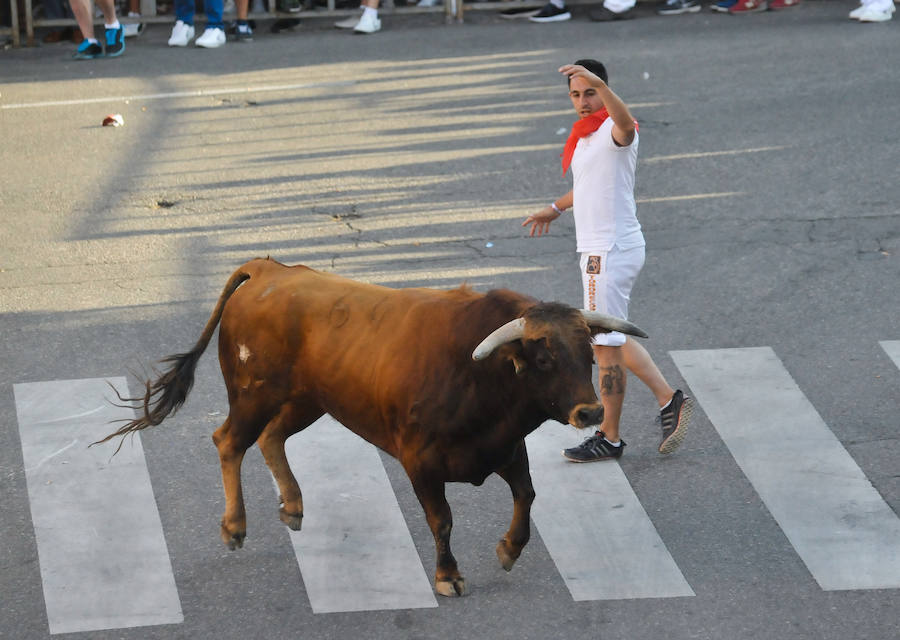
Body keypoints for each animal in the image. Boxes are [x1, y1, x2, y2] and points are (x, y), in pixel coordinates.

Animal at [98, 258, 648, 596]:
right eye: (543, 357)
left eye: (588, 353)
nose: (590, 413)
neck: (481, 375)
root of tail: (270, 269)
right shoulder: (420, 462)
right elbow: (442, 519)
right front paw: (448, 575)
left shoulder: (507, 449)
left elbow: (526, 496)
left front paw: (509, 549)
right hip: (253, 395)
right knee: (229, 441)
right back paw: (235, 526)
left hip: (309, 399)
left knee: (272, 437)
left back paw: (293, 505)